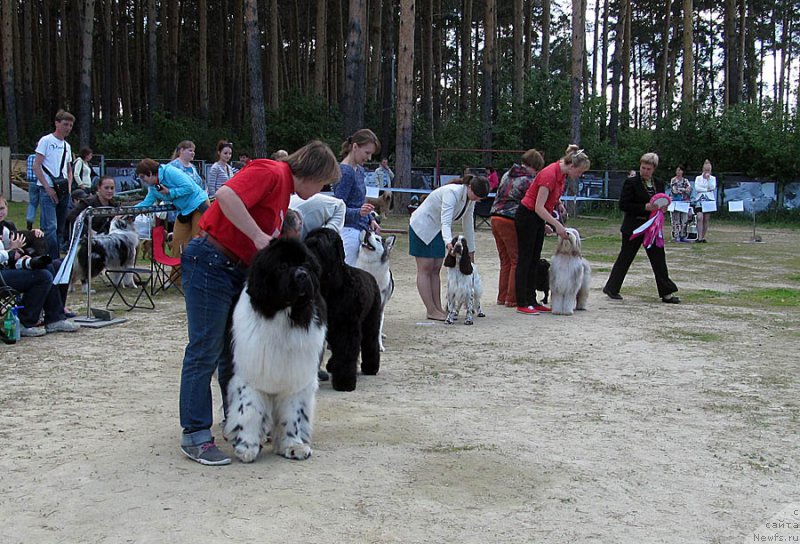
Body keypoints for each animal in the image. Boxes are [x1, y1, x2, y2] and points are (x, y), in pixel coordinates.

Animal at [304, 227, 382, 394]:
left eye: (325, 237)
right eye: (309, 237)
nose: (312, 242)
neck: (330, 287)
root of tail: (371, 277)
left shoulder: (346, 327)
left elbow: (346, 352)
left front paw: (345, 382)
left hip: (370, 322)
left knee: (370, 342)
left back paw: (370, 367)